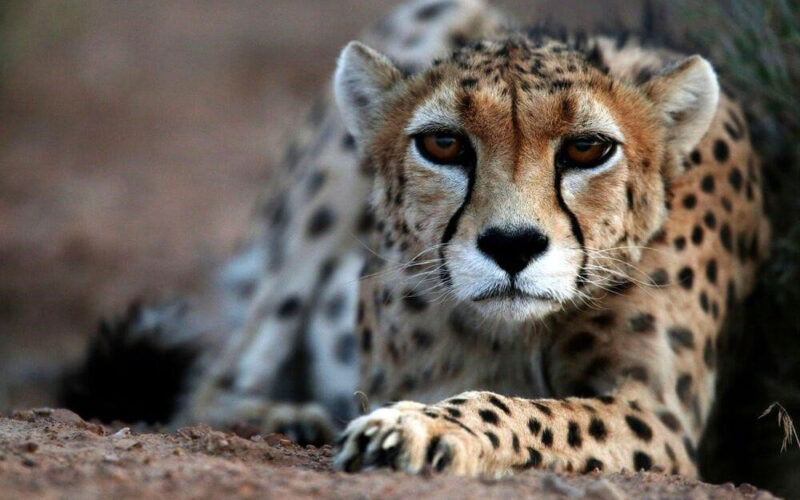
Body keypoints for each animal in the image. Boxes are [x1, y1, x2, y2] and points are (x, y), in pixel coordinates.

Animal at [67, 0, 768, 480]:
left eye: (587, 149)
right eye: (444, 144)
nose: (512, 246)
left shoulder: (661, 414)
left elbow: (537, 411)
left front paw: (415, 429)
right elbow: (512, 403)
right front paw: (410, 425)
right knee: (210, 384)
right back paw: (284, 417)